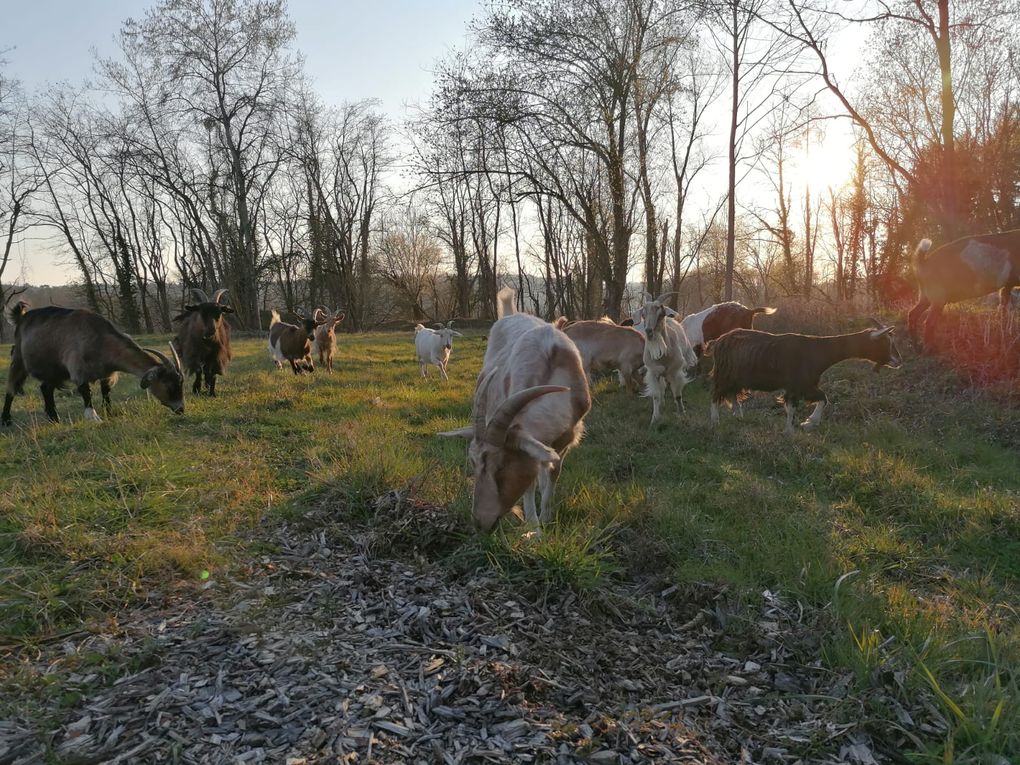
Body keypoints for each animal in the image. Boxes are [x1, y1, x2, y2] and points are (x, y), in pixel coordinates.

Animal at [3, 301, 184, 425]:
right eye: (168, 386)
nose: (181, 409)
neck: (100, 339)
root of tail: (21, 317)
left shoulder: (108, 374)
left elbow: (106, 392)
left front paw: (109, 412)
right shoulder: (78, 368)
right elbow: (86, 391)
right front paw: (94, 417)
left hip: (54, 370)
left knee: (45, 388)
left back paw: (54, 418)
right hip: (19, 359)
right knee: (11, 388)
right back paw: (6, 419)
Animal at [439, 287, 591, 532]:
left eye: (501, 466)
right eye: (472, 463)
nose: (480, 522)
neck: (553, 362)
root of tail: (511, 313)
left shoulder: (567, 437)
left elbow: (553, 471)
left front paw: (546, 517)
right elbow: (532, 479)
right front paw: (534, 526)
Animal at [639, 293, 698, 424]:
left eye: (660, 310)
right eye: (643, 312)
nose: (648, 331)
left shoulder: (676, 372)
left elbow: (678, 395)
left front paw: (681, 413)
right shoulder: (653, 372)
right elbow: (656, 396)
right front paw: (655, 418)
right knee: (661, 388)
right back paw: (662, 403)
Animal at [705, 320, 901, 434]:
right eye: (886, 342)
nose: (899, 360)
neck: (817, 351)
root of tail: (718, 341)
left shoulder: (803, 386)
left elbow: (813, 401)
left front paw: (798, 426)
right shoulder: (798, 385)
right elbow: (815, 401)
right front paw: (804, 425)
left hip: (735, 377)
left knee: (731, 394)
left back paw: (739, 415)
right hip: (724, 374)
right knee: (715, 395)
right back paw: (715, 421)